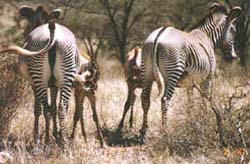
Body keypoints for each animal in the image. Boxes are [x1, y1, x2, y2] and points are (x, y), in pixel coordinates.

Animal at [140, 3, 241, 138]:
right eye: (233, 31)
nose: (233, 57)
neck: (208, 38)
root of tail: (159, 35)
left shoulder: (190, 83)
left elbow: (190, 102)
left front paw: (192, 121)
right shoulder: (208, 78)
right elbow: (204, 100)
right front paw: (204, 120)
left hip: (147, 71)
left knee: (145, 98)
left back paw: (143, 132)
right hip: (173, 71)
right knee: (165, 100)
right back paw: (164, 132)